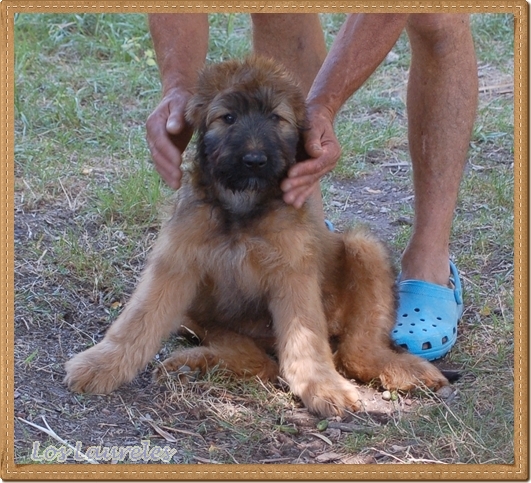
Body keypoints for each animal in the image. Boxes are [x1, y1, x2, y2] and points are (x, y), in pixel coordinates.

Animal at [65, 56, 448, 418]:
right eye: (228, 117)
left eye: (276, 118)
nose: (253, 159)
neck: (242, 209)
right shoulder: (174, 265)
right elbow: (136, 322)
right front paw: (101, 364)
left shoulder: (293, 273)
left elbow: (306, 340)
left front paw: (323, 386)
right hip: (200, 317)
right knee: (260, 362)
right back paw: (190, 364)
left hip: (363, 249)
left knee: (355, 351)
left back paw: (405, 369)